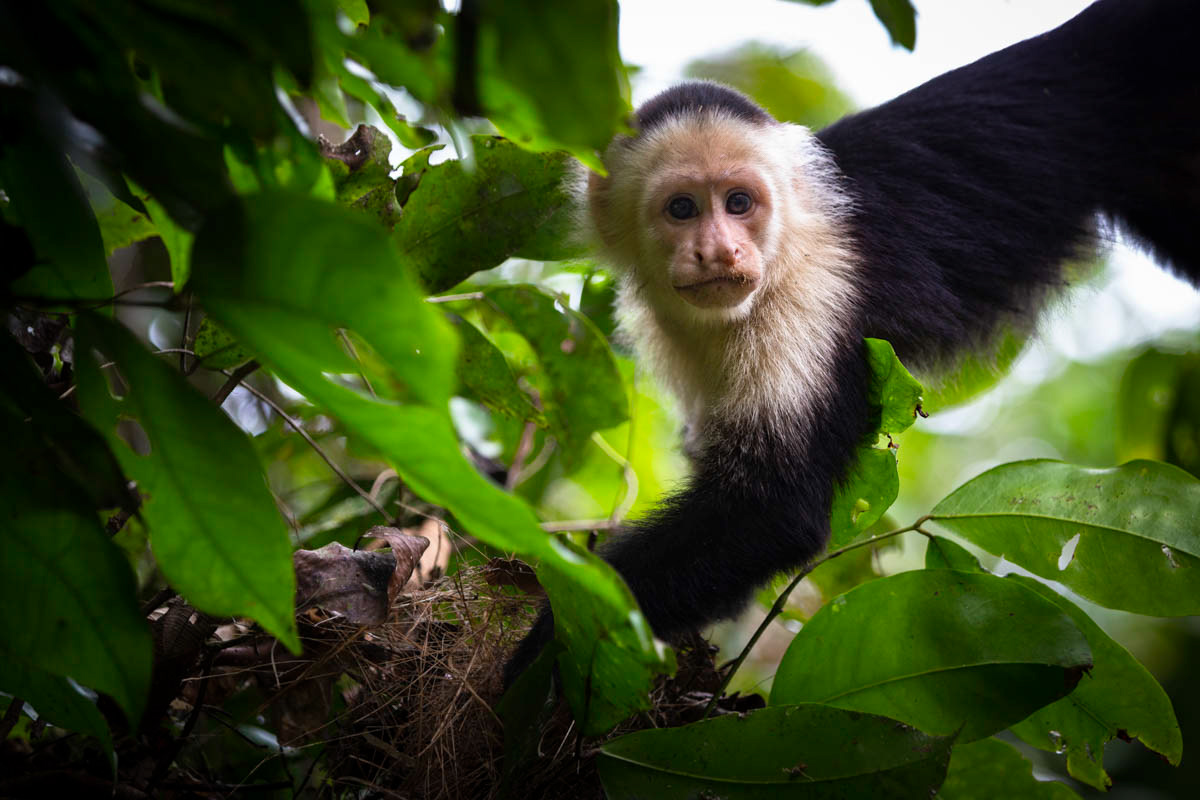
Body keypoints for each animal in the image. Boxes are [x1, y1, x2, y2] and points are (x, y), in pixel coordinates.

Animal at [504, 0, 1200, 686]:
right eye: (681, 209)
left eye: (738, 203)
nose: (720, 252)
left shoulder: (809, 297)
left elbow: (771, 509)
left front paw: (555, 634)